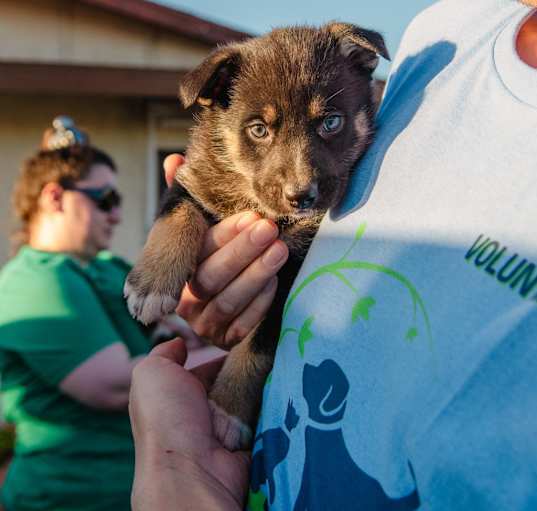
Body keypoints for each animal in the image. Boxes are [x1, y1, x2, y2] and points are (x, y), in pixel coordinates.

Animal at [123, 22, 388, 450]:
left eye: (331, 122)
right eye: (259, 129)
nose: (301, 196)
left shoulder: (289, 278)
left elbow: (257, 347)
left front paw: (227, 410)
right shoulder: (191, 177)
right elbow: (178, 214)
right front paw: (151, 284)